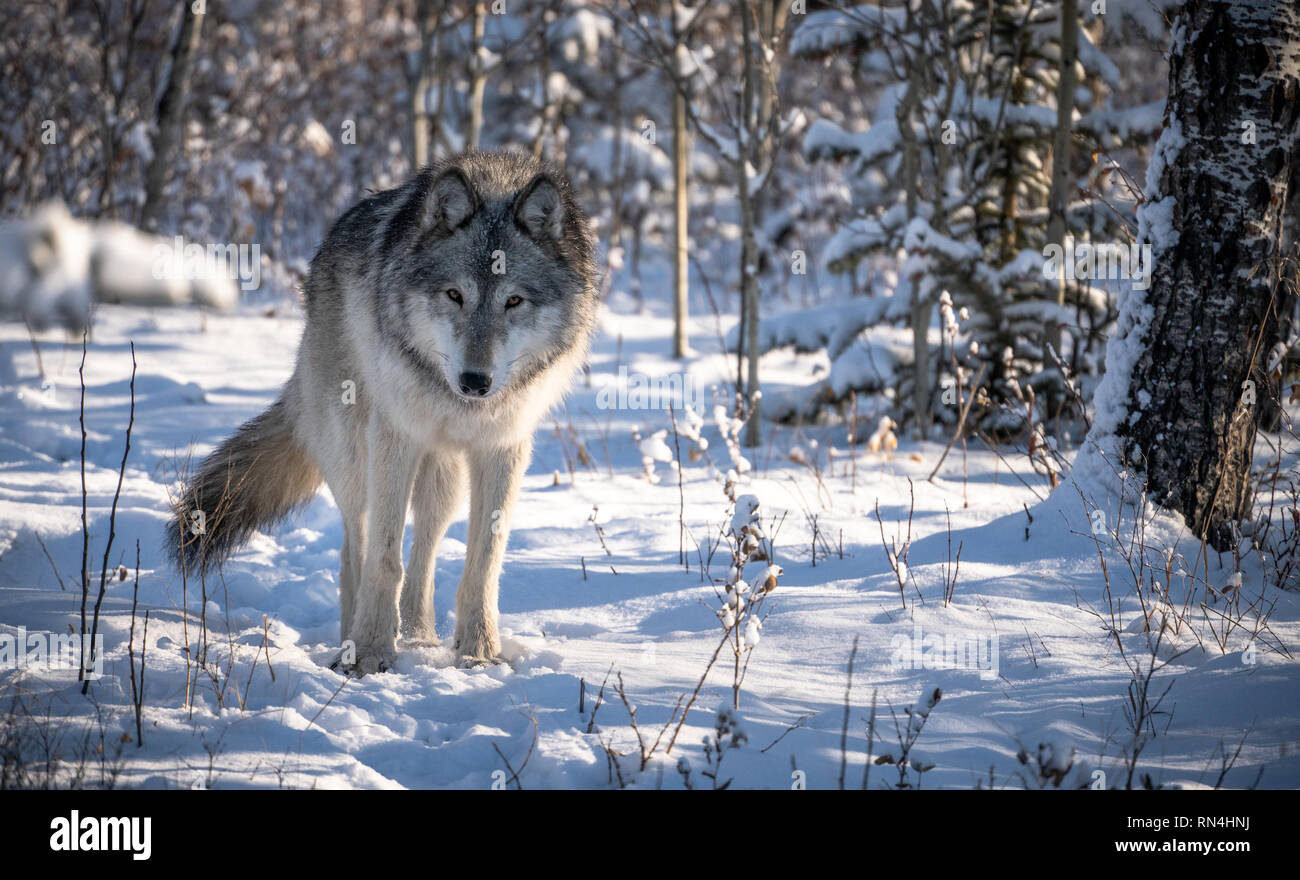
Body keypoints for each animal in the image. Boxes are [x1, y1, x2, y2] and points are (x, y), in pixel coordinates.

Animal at [167, 152, 598, 670]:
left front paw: (478, 653)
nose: (475, 382)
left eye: (514, 301)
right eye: (454, 295)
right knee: (356, 547)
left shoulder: (503, 448)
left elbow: (482, 564)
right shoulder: (395, 438)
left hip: (444, 474)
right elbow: (384, 560)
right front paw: (372, 651)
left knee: (425, 552)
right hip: (355, 453)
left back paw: (419, 638)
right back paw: (353, 637)